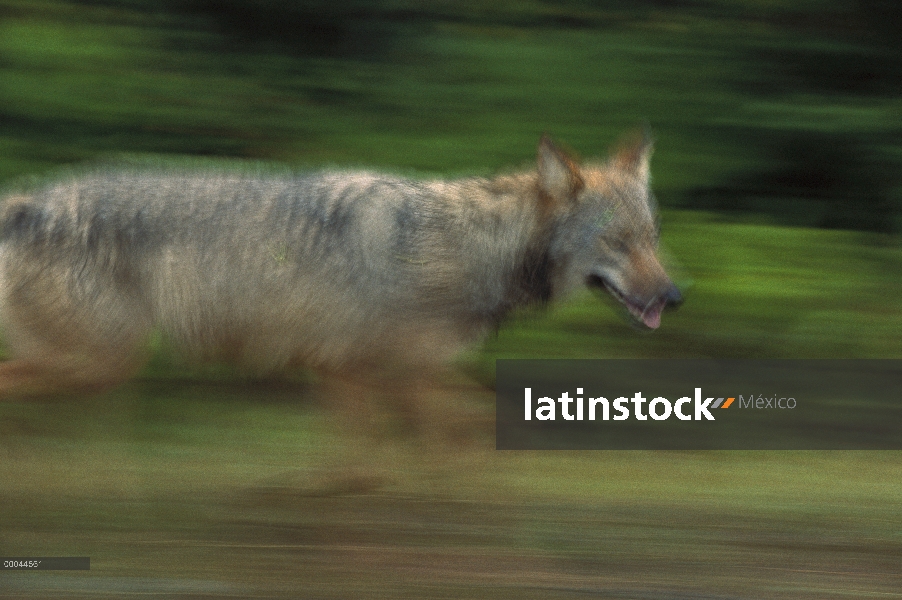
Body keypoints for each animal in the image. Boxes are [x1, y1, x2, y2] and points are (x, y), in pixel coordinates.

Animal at [0, 135, 680, 398]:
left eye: (650, 238)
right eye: (618, 242)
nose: (675, 296)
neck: (460, 244)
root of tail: (25, 200)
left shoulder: (347, 371)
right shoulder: (380, 369)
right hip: (101, 360)